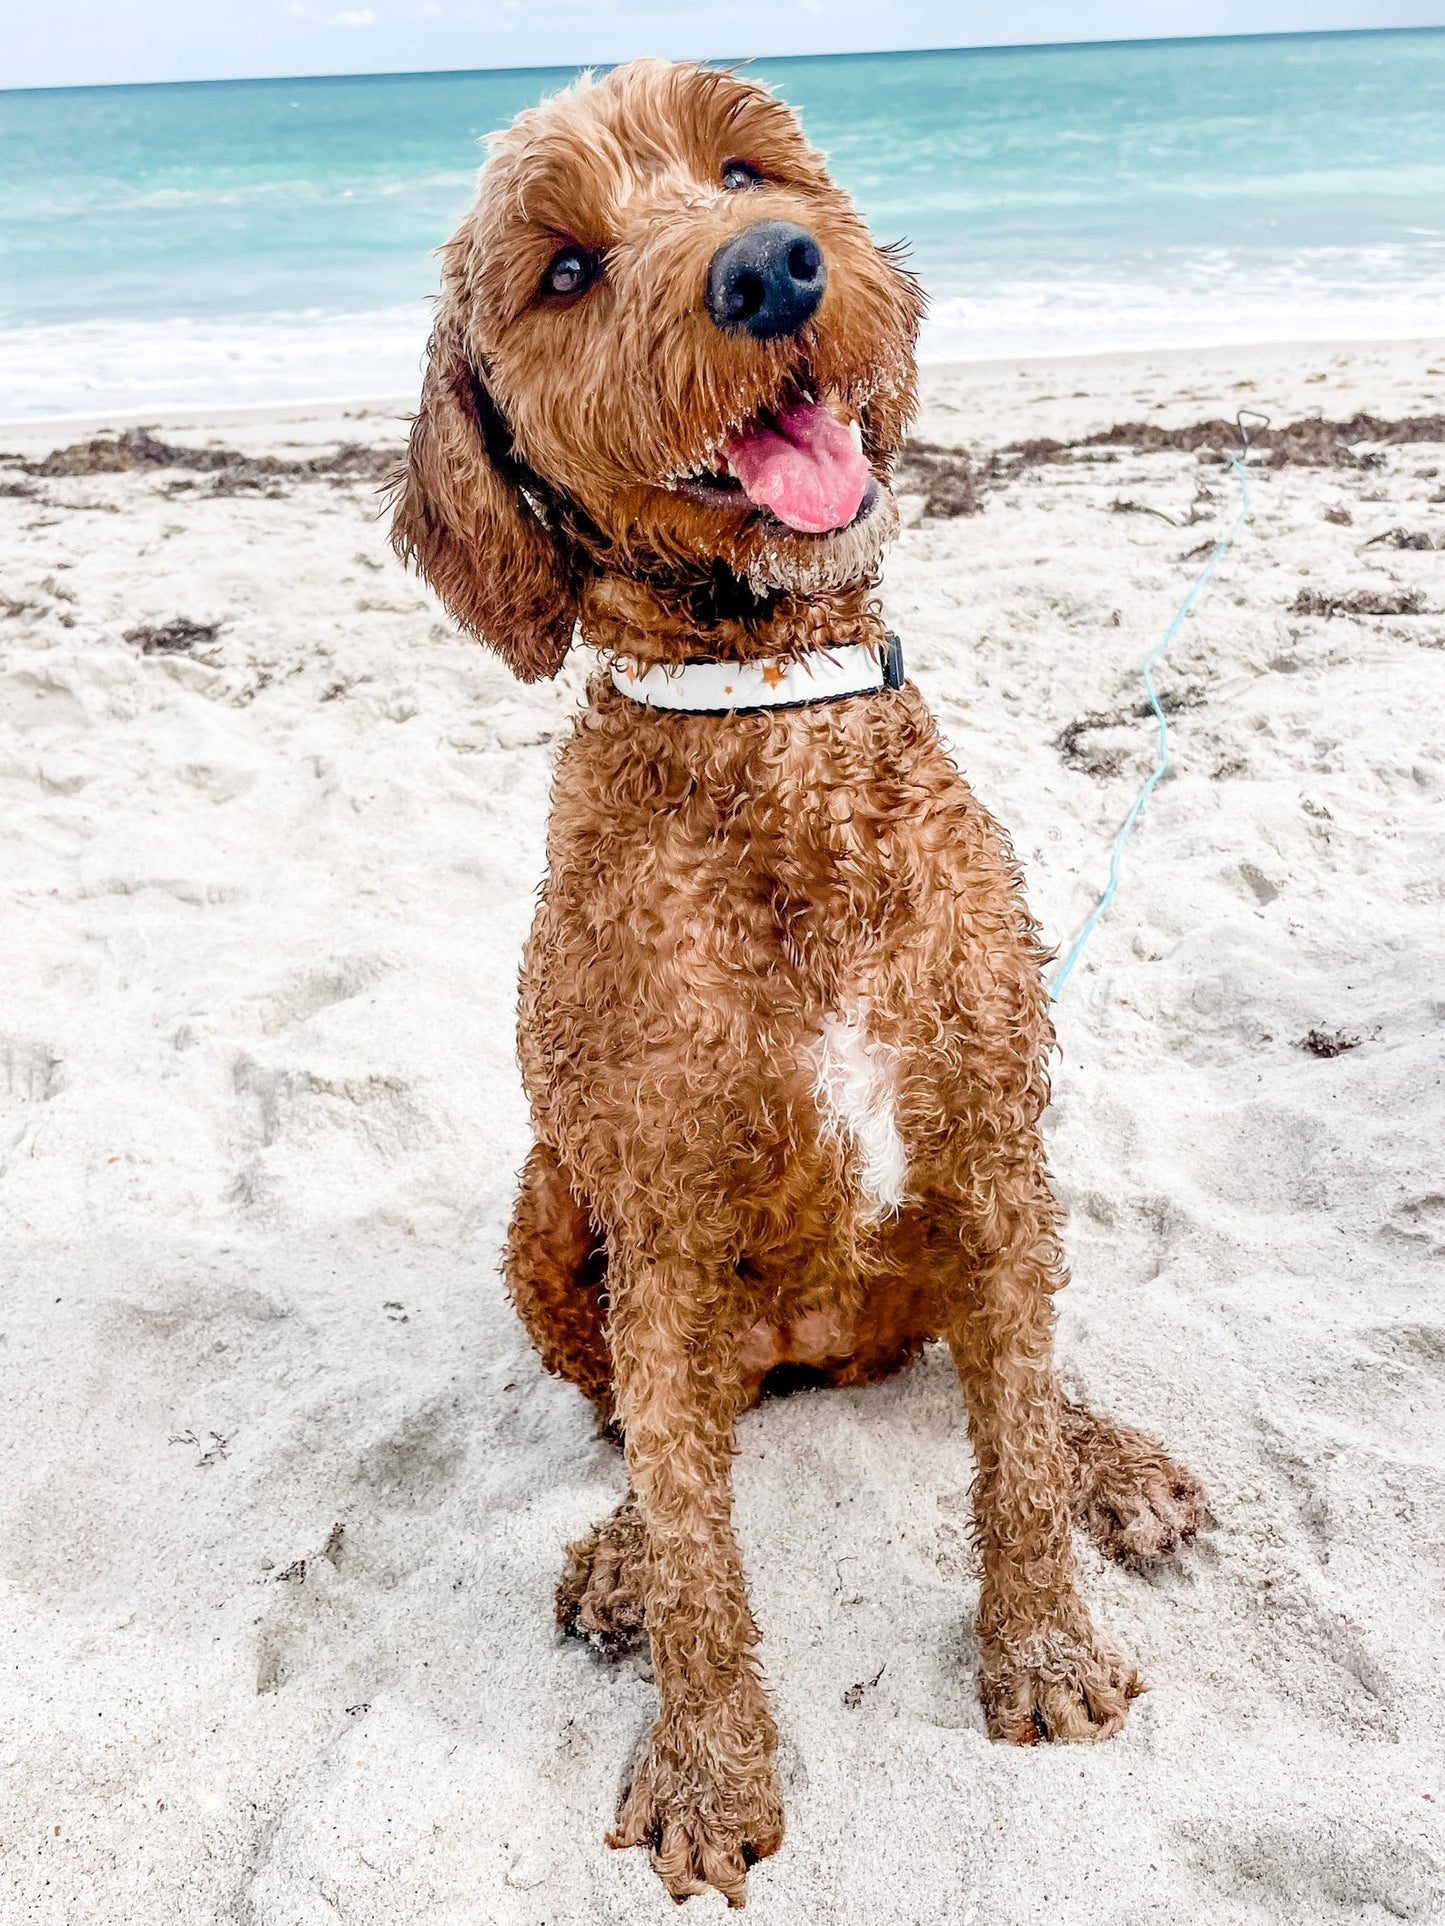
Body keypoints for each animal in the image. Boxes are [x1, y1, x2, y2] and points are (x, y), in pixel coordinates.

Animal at [391, 60, 1202, 1910]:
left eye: (749, 166)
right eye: (562, 270)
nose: (769, 272)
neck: (771, 720)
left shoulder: (988, 1139)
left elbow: (1015, 1462)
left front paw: (1042, 1649)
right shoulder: (666, 1220)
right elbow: (703, 1547)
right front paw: (706, 1763)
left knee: (1014, 1366)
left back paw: (1112, 1455)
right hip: (549, 1211)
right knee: (649, 1426)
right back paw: (620, 1549)